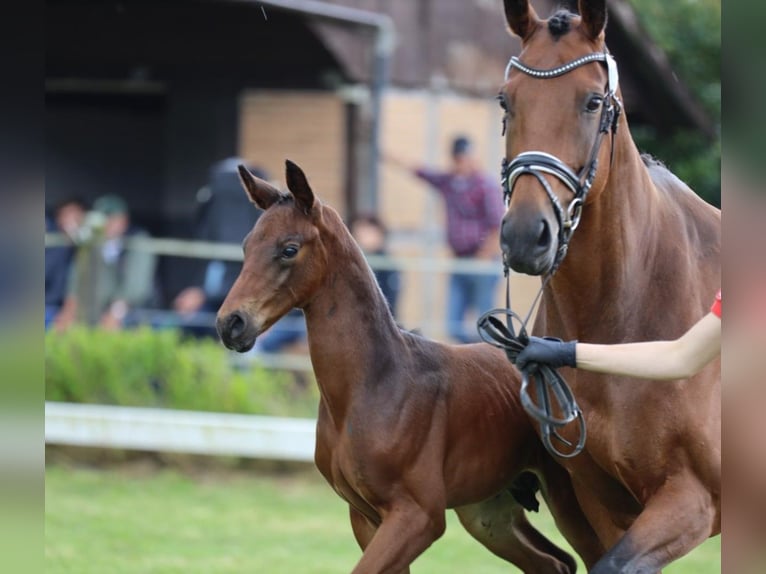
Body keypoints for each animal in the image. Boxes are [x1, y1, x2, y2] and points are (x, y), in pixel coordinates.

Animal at [214, 160, 608, 572]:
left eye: (289, 249)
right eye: (247, 246)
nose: (231, 323)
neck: (372, 385)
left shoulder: (418, 516)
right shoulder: (367, 517)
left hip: (571, 500)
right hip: (488, 512)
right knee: (554, 561)